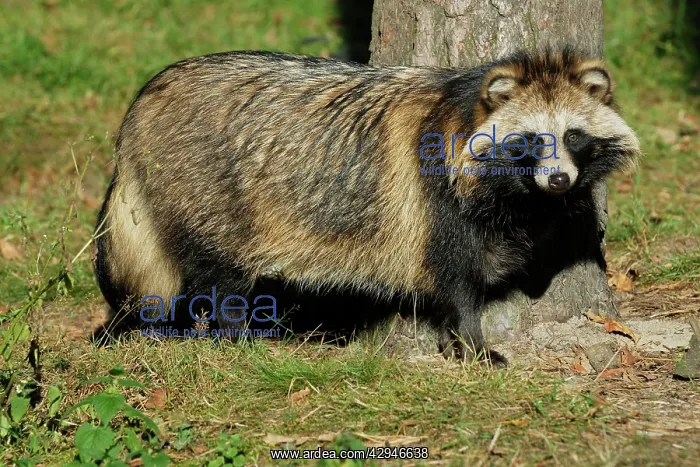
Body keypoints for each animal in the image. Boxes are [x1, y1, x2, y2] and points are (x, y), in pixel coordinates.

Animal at [93, 47, 640, 364]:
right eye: (529, 140)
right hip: (207, 184)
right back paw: (233, 333)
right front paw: (471, 343)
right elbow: (455, 277)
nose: (558, 179)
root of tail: (144, 101)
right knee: (218, 271)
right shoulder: (435, 197)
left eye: (573, 135)